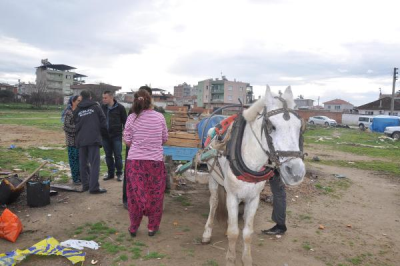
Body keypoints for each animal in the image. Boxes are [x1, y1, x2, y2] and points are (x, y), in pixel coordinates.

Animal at [202, 86, 308, 264]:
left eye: (300, 127)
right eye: (272, 126)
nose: (296, 173)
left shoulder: (253, 198)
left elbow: (246, 233)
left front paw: (246, 259)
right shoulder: (232, 196)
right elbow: (234, 233)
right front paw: (230, 259)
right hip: (213, 178)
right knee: (214, 202)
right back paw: (207, 233)